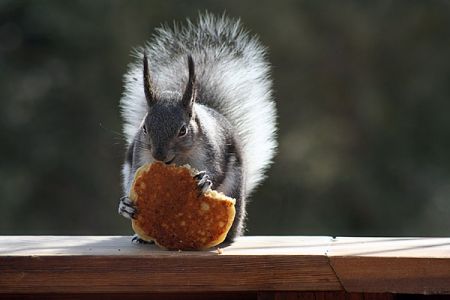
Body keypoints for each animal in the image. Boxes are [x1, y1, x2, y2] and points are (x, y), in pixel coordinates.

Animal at [118, 13, 276, 244]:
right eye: (145, 128)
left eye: (183, 131)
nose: (159, 156)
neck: (178, 160)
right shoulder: (140, 156)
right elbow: (133, 178)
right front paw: (125, 205)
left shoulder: (211, 151)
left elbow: (216, 172)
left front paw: (204, 180)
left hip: (235, 191)